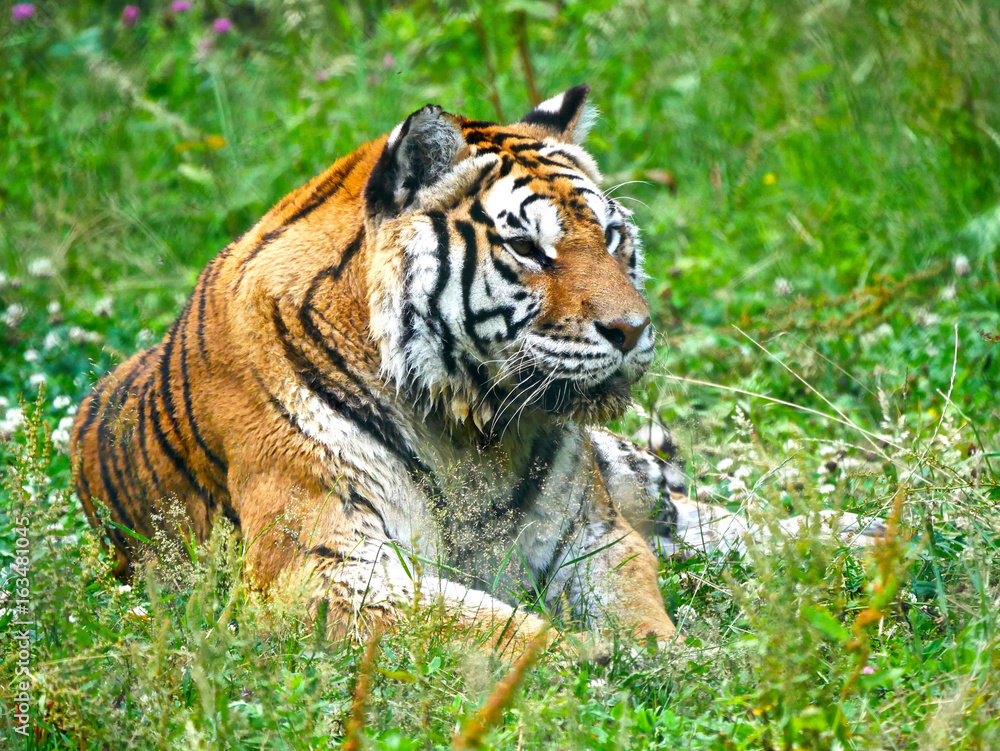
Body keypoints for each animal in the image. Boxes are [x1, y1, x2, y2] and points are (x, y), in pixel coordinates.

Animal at [71, 86, 882, 654]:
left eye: (612, 236)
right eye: (527, 247)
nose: (632, 330)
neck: (472, 430)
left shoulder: (591, 530)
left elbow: (635, 596)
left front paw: (664, 656)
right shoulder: (320, 563)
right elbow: (480, 624)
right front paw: (587, 663)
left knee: (704, 517)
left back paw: (868, 533)